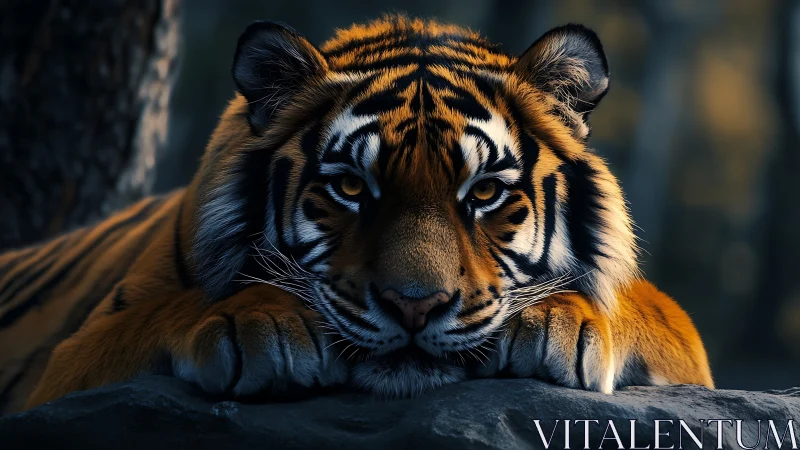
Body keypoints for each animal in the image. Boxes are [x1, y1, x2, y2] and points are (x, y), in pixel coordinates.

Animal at [0, 15, 713, 414]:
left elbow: (646, 306)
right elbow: (171, 309)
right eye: (349, 187)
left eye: (484, 193)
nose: (415, 307)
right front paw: (257, 322)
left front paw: (563, 321)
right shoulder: (71, 362)